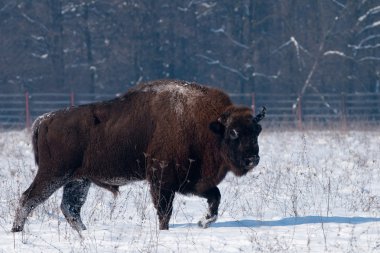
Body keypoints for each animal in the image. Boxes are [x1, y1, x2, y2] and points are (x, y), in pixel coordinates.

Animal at [12, 79, 268, 231]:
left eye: (257, 131)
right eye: (233, 133)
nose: (252, 159)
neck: (207, 125)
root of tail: (44, 120)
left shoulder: (193, 182)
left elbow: (215, 198)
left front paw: (203, 222)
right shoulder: (162, 181)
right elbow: (164, 211)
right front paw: (166, 231)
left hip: (78, 180)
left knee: (70, 208)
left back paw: (84, 234)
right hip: (54, 174)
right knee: (28, 199)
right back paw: (17, 232)